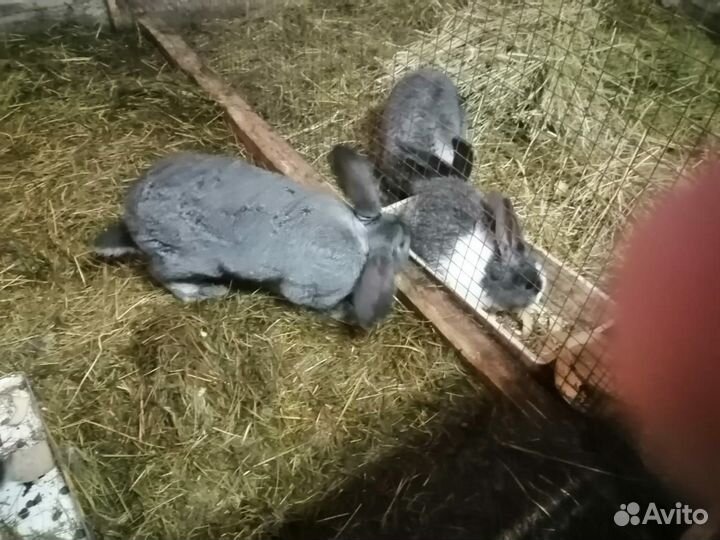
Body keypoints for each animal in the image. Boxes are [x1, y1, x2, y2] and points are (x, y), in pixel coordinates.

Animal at [91, 150, 410, 329]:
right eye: (403, 246)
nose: (408, 237)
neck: (363, 237)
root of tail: (132, 221)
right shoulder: (310, 289)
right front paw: (344, 313)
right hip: (185, 258)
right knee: (163, 276)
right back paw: (208, 292)